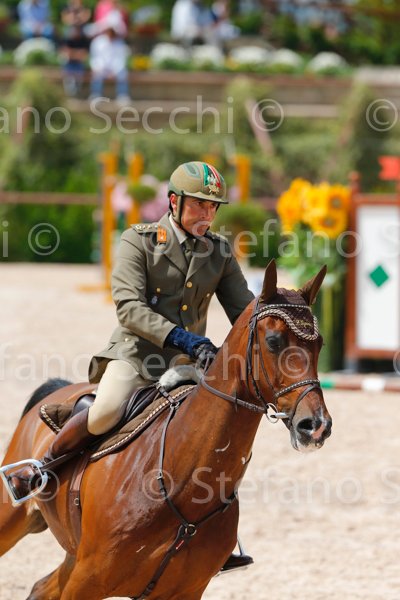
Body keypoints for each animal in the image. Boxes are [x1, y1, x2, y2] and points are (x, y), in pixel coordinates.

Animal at [0, 260, 332, 600]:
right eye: (274, 341)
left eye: (319, 344)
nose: (316, 426)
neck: (182, 481)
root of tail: (58, 390)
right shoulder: (86, 579)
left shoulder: (185, 590)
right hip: (14, 522)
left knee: (41, 587)